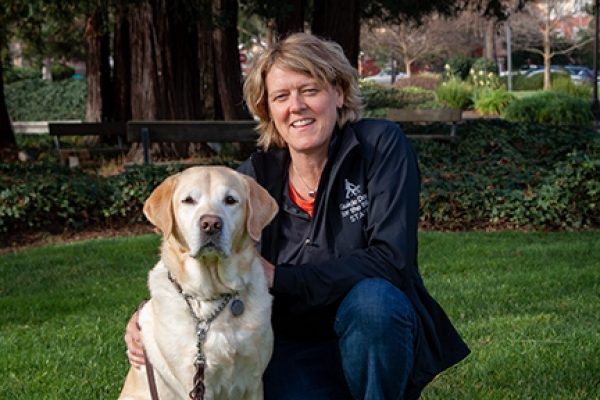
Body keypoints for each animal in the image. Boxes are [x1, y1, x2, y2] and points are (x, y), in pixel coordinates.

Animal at [119, 166, 278, 400]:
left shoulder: (254, 381)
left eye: (230, 200)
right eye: (188, 200)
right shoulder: (194, 383)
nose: (211, 224)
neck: (211, 295)